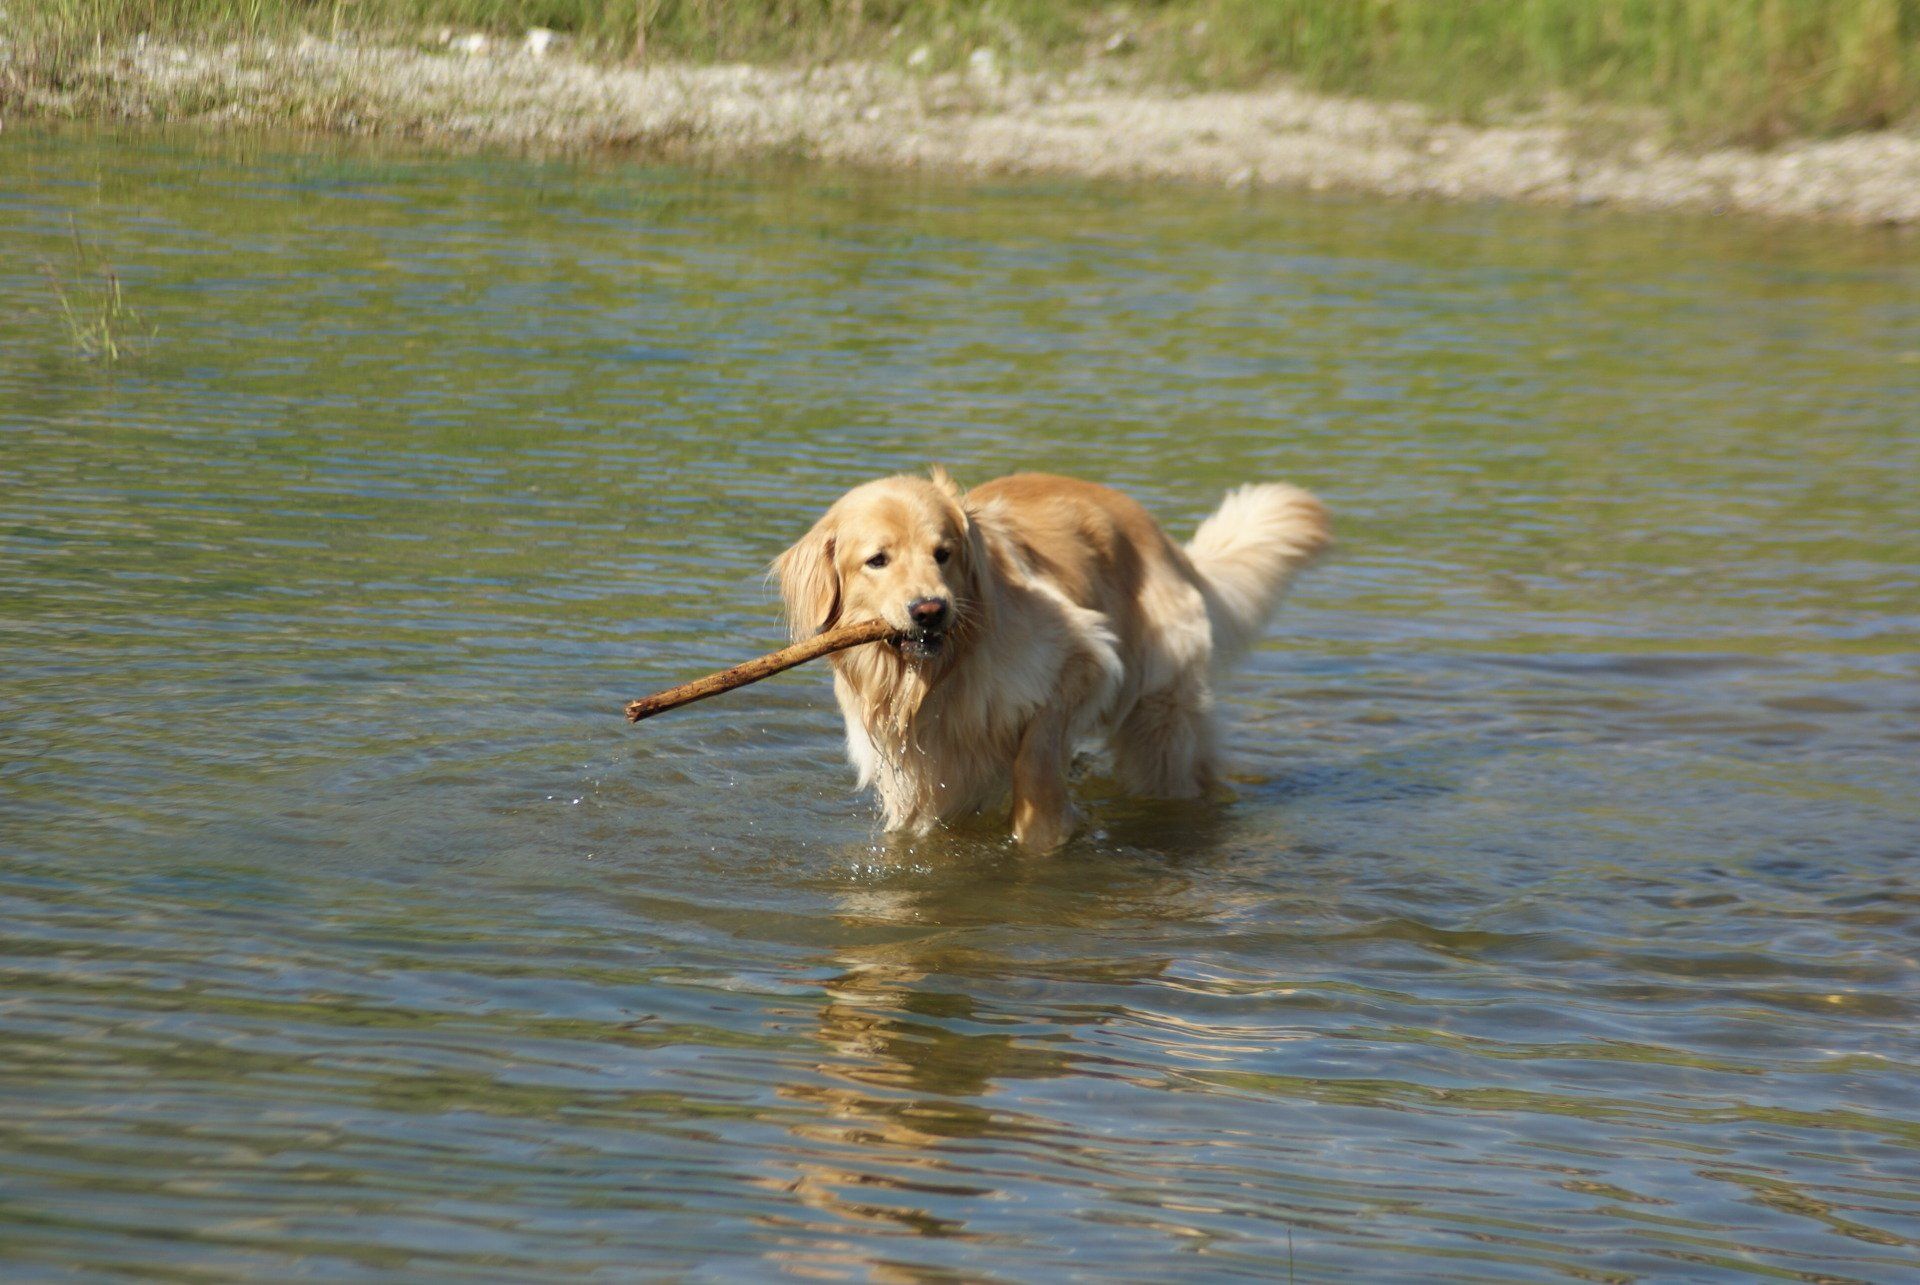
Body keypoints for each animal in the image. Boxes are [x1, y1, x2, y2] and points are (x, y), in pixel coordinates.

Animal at [774, 469, 1329, 850]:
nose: (930, 610)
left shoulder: (1088, 658)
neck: (942, 674)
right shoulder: (918, 772)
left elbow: (1036, 753)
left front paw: (1040, 829)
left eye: (943, 554)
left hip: (1159, 719)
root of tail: (1165, 542)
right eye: (878, 560)